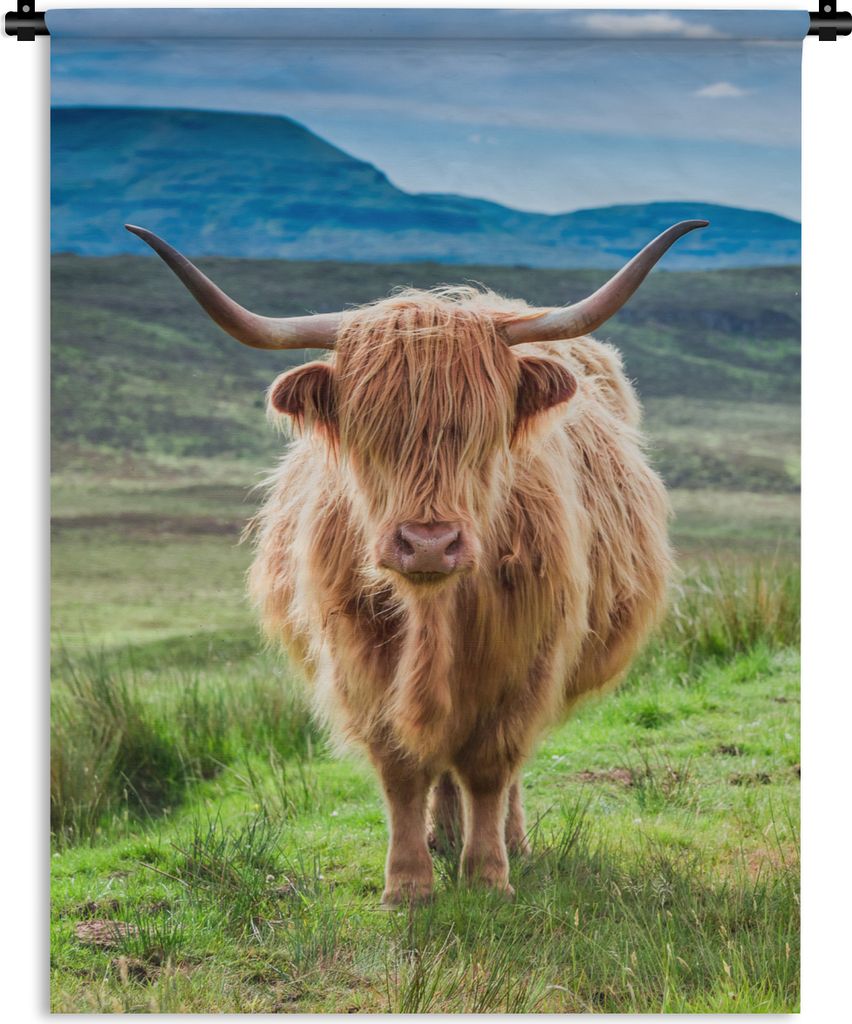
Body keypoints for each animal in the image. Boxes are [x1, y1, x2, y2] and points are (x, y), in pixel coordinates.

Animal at [127, 219, 706, 904]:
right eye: (369, 432)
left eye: (483, 430)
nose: (429, 543)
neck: (435, 611)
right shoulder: (360, 658)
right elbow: (402, 767)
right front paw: (408, 883)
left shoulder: (525, 658)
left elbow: (490, 765)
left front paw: (488, 876)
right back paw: (443, 835)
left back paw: (508, 841)